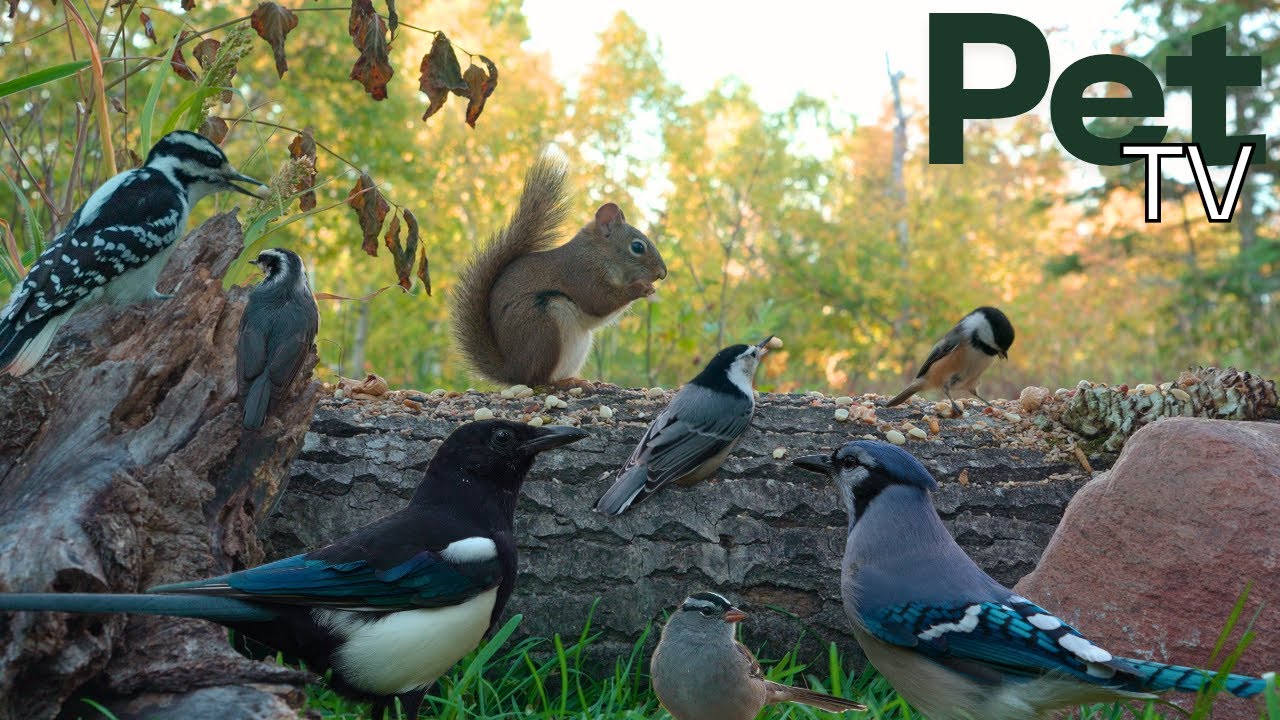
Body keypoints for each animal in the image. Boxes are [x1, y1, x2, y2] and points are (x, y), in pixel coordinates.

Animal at [451, 149, 668, 387]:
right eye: (637, 247)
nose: (662, 274)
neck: (600, 253)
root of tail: (514, 371)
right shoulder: (581, 272)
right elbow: (599, 300)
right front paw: (641, 288)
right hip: (544, 329)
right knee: (538, 379)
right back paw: (564, 383)